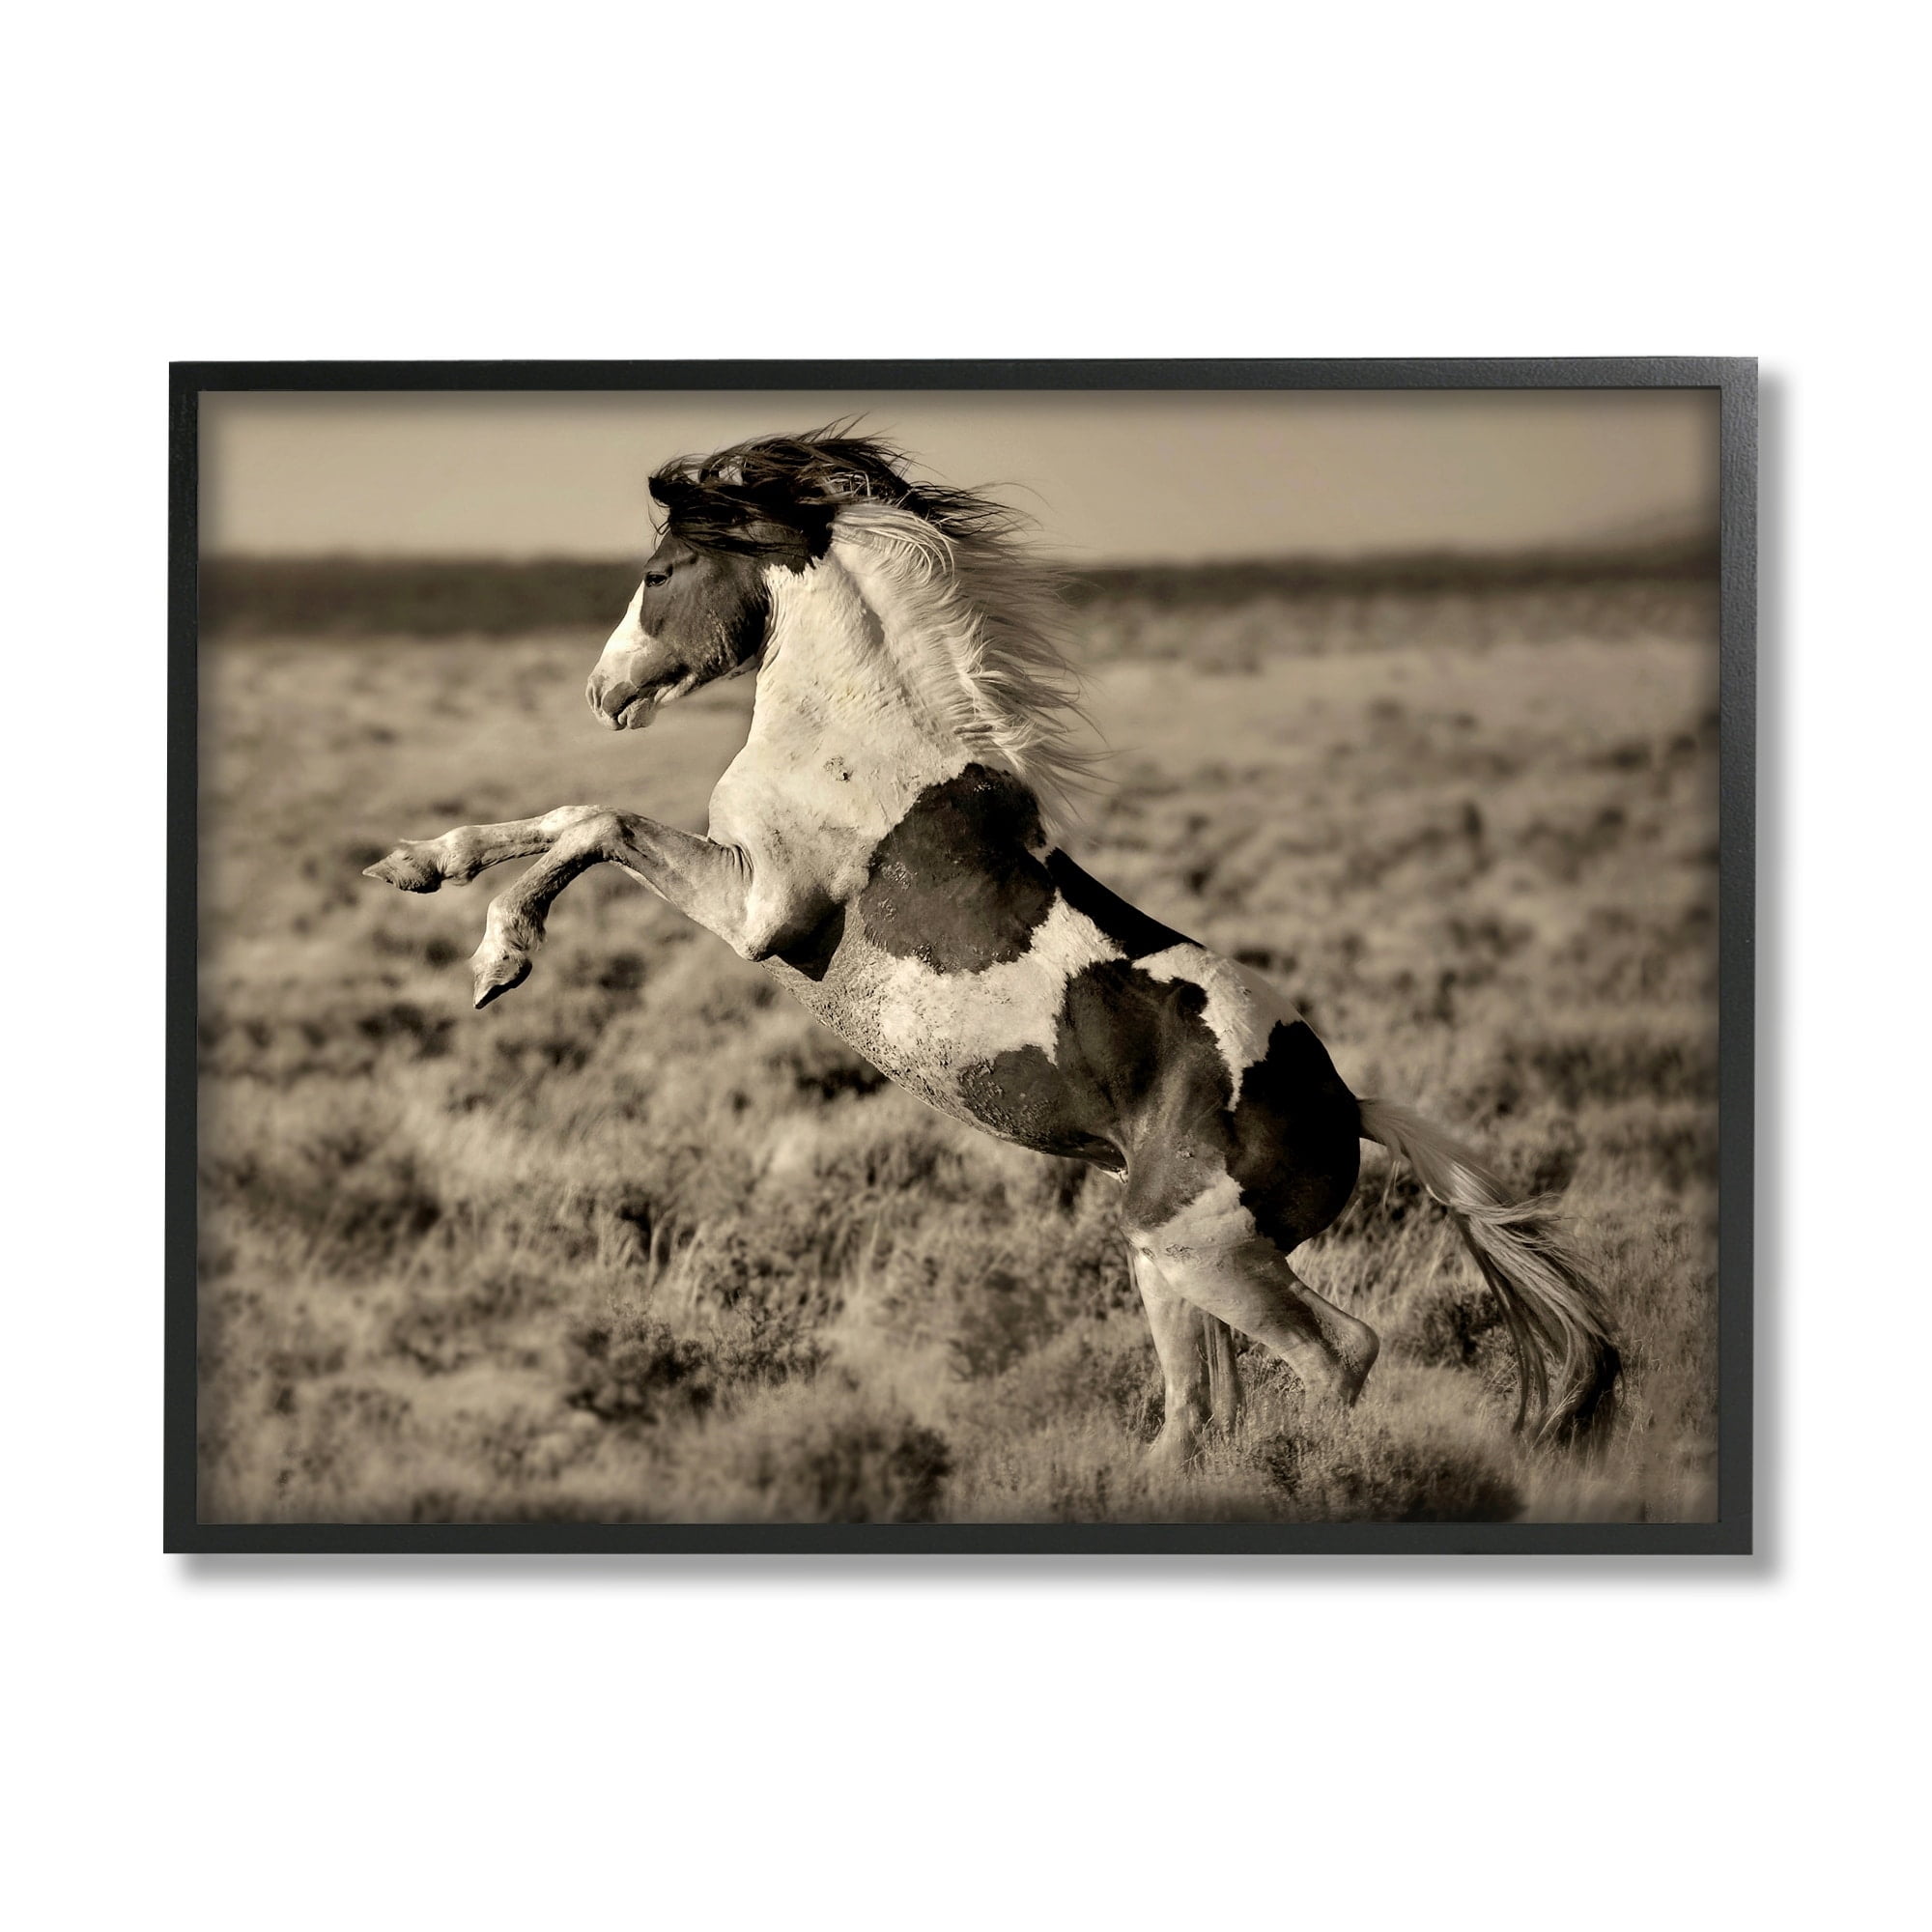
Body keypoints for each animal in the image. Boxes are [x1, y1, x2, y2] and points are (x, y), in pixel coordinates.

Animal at [364, 428, 1621, 1461]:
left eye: (659, 573)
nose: (603, 691)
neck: (860, 737)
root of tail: (1347, 1104)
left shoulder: (758, 908)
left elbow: (595, 821)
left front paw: (499, 956)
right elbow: (565, 815)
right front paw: (416, 864)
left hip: (1205, 1251)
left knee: (1339, 1354)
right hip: (1161, 1260)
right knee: (1196, 1413)